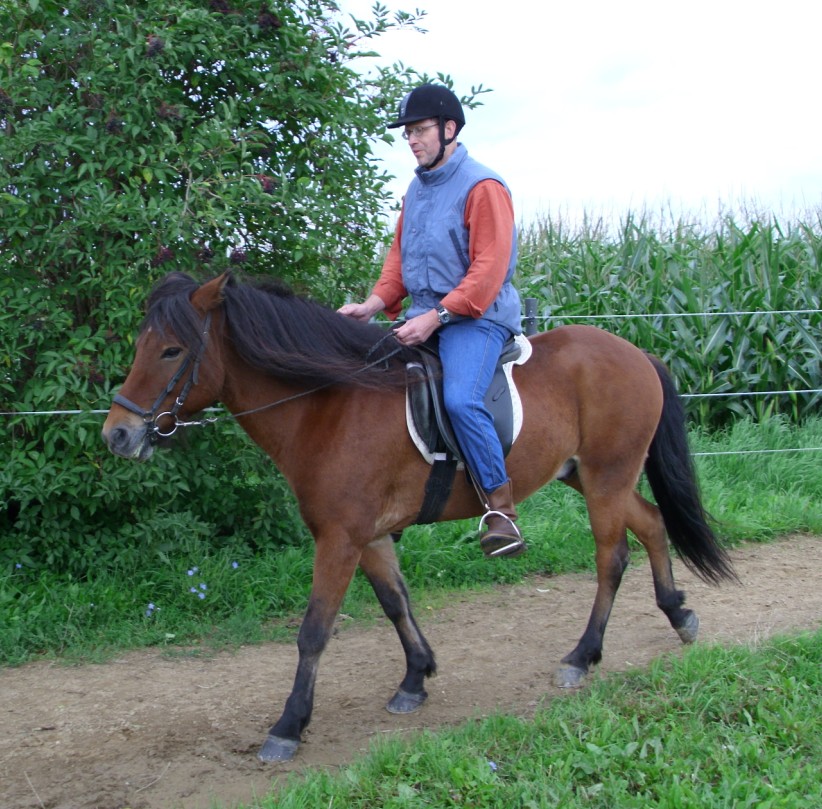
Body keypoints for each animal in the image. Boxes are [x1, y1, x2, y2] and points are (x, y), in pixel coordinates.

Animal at [100, 274, 736, 760]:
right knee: (651, 525)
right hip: (591, 475)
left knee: (612, 557)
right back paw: (679, 614)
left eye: (171, 350)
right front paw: (416, 677)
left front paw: (289, 726)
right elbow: (395, 602)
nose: (118, 435)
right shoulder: (368, 536)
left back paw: (582, 656)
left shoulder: (339, 539)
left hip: (606, 479)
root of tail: (635, 352)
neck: (328, 405)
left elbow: (313, 631)